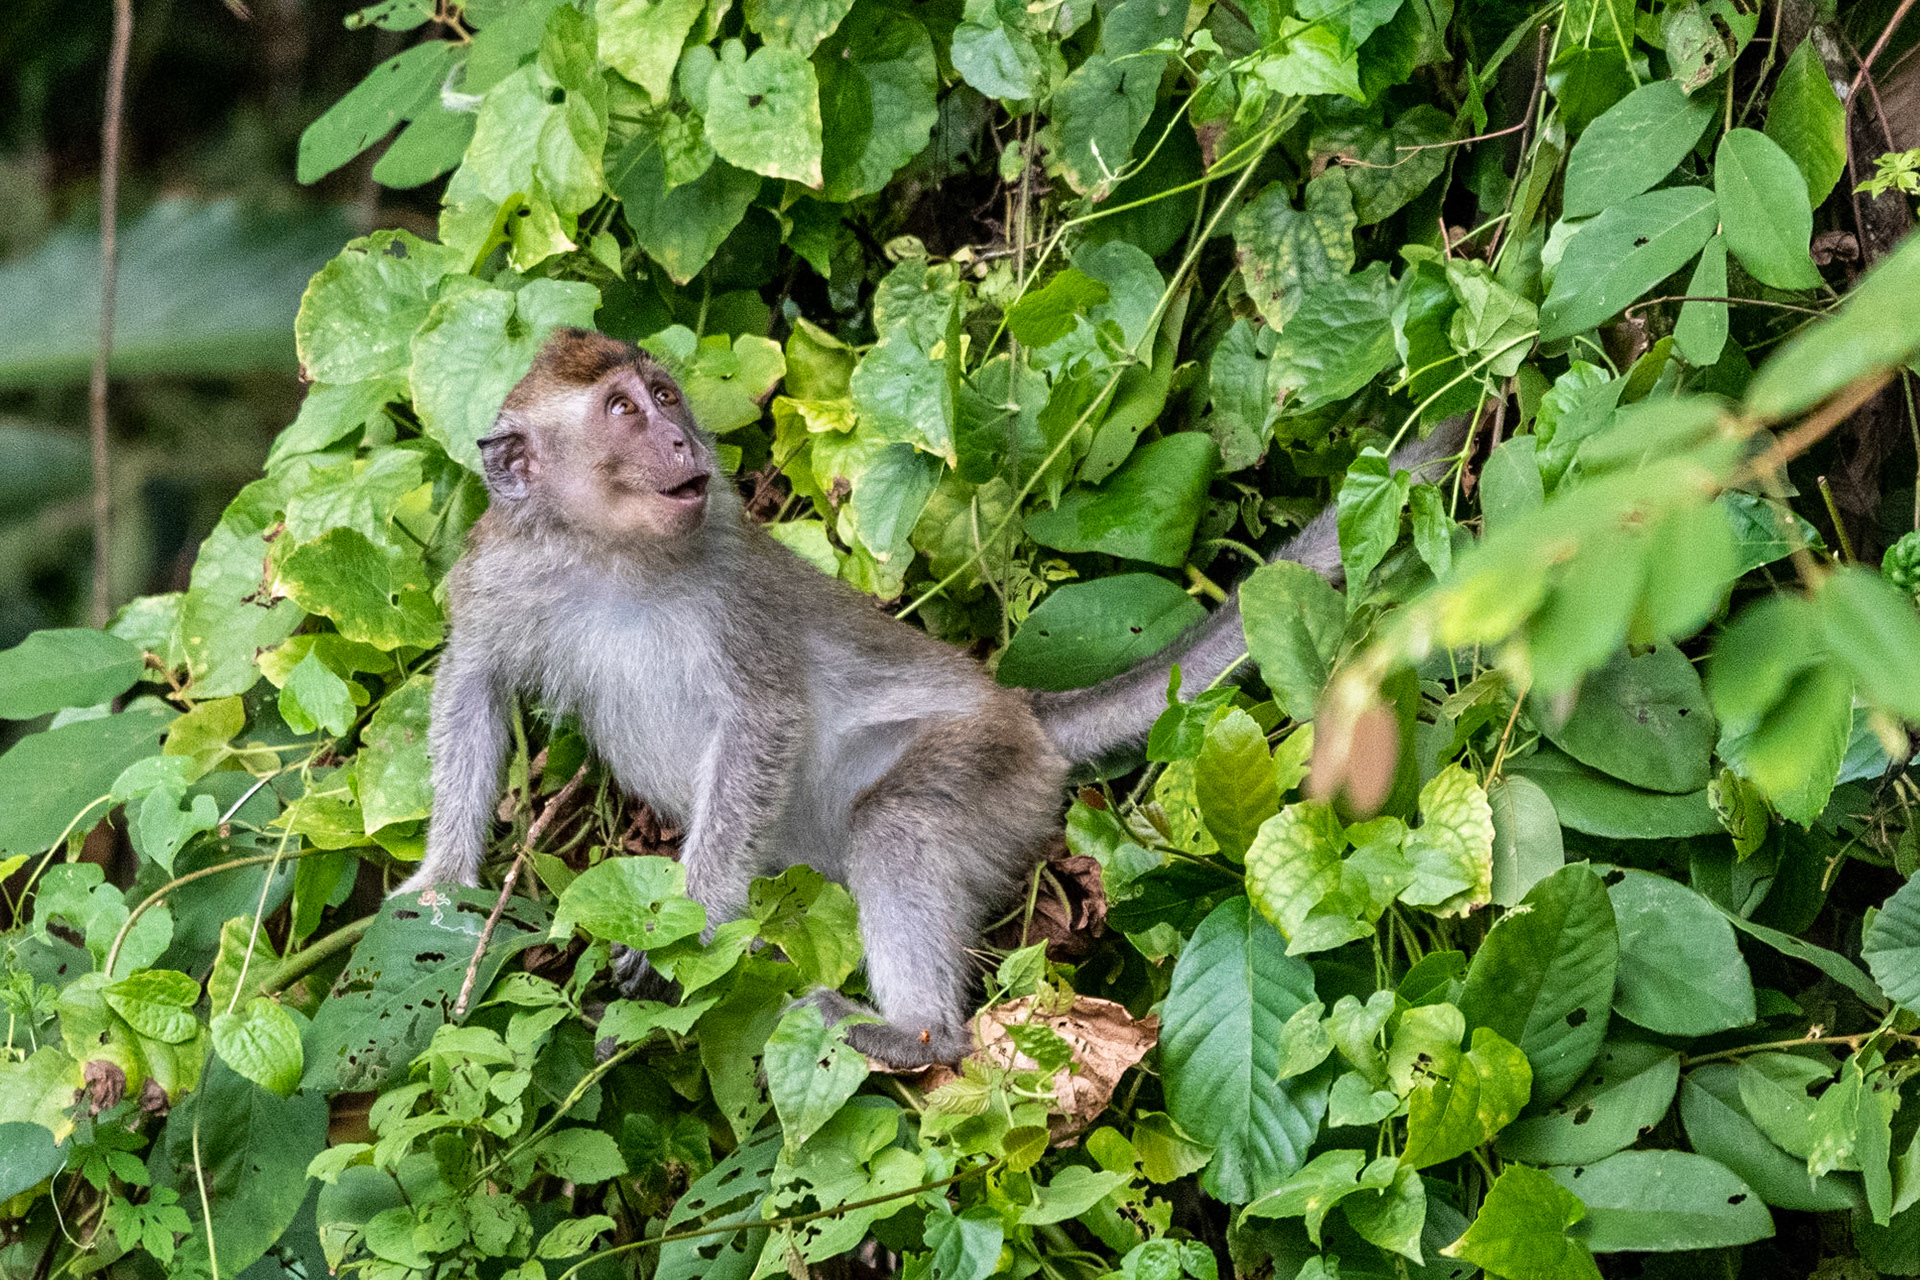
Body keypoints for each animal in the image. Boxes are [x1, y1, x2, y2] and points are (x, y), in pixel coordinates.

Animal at [395, 327, 1466, 1068]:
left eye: (662, 393)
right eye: (623, 410)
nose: (678, 436)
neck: (615, 555)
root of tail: (1026, 711)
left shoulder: (728, 584)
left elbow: (763, 718)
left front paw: (686, 925)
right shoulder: (502, 570)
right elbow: (472, 681)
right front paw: (441, 883)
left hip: (996, 769)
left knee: (901, 820)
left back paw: (917, 1035)